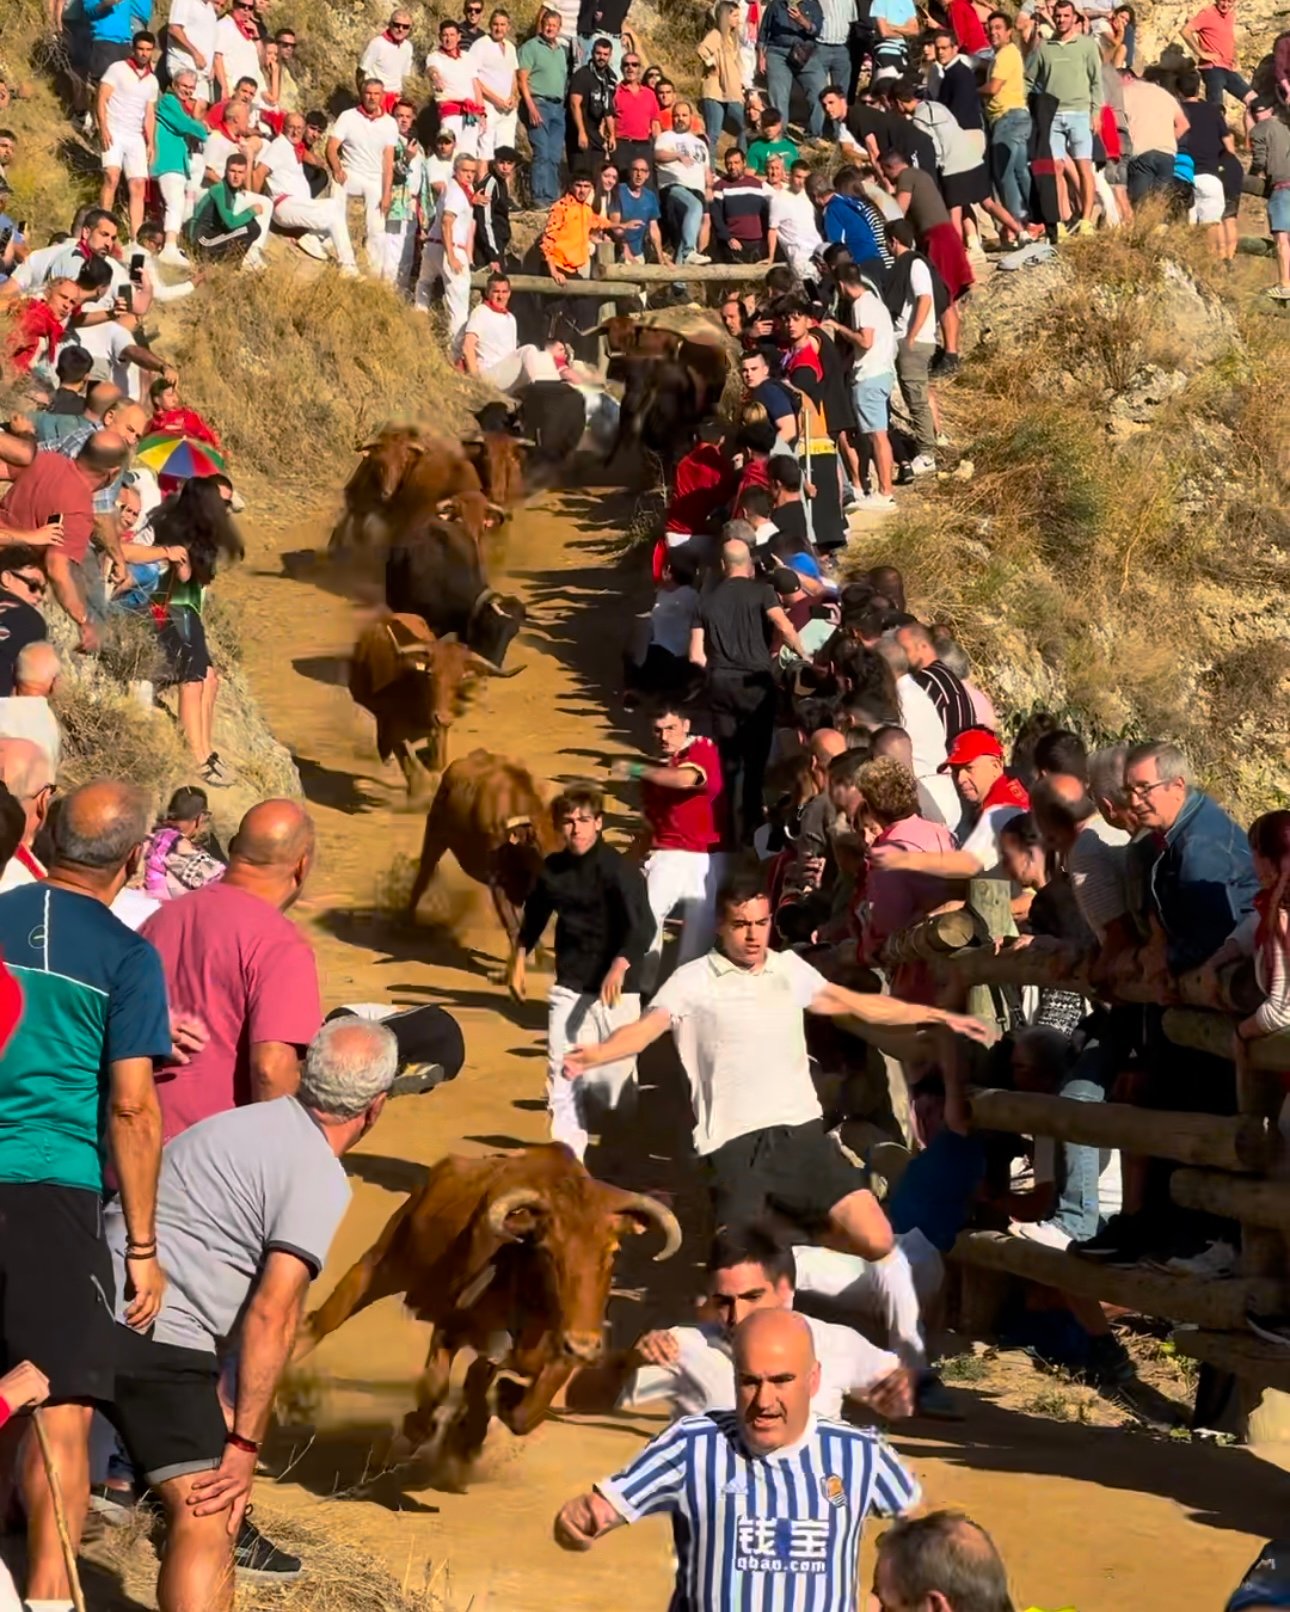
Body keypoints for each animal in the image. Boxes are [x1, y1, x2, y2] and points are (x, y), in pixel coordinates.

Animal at [296, 1141, 680, 1489]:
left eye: (612, 1251)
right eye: (547, 1251)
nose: (583, 1346)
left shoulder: (559, 1354)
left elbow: (526, 1410)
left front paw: (493, 1411)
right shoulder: (450, 1329)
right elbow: (435, 1391)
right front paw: (418, 1436)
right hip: (382, 1265)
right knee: (325, 1319)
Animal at [349, 609, 522, 793]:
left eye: (460, 678)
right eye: (429, 673)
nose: (443, 718)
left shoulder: (439, 732)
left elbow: (437, 763)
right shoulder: (393, 729)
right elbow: (409, 764)